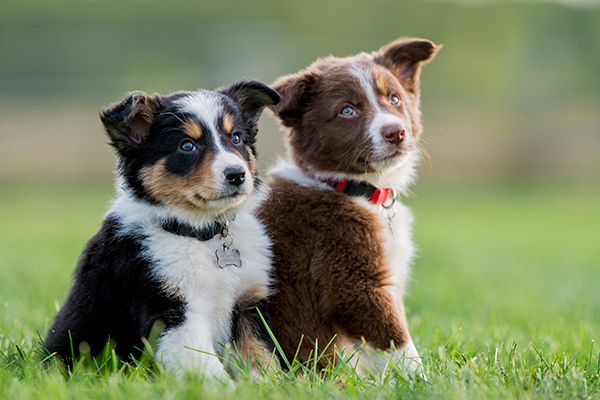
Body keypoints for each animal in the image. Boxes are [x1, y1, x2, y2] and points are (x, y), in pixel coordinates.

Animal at [44, 80, 282, 378]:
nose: (237, 175)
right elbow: (207, 367)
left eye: (236, 138)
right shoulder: (171, 311)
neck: (202, 234)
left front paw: (269, 384)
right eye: (187, 145)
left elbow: (262, 360)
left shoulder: (249, 304)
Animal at [255, 39, 438, 374]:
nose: (396, 132)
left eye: (394, 99)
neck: (353, 189)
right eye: (347, 111)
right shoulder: (350, 278)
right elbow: (398, 342)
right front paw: (425, 379)